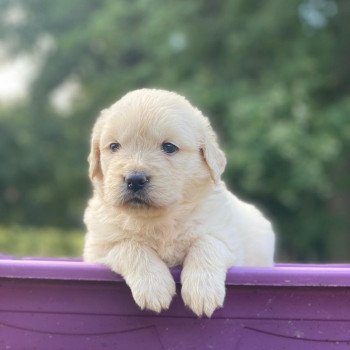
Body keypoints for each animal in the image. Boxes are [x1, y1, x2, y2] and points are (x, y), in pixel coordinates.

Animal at [83, 88, 274, 318]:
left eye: (169, 147)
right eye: (114, 146)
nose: (135, 179)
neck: (158, 219)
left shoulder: (227, 240)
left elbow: (207, 243)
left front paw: (203, 291)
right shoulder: (98, 248)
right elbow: (129, 245)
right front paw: (154, 286)